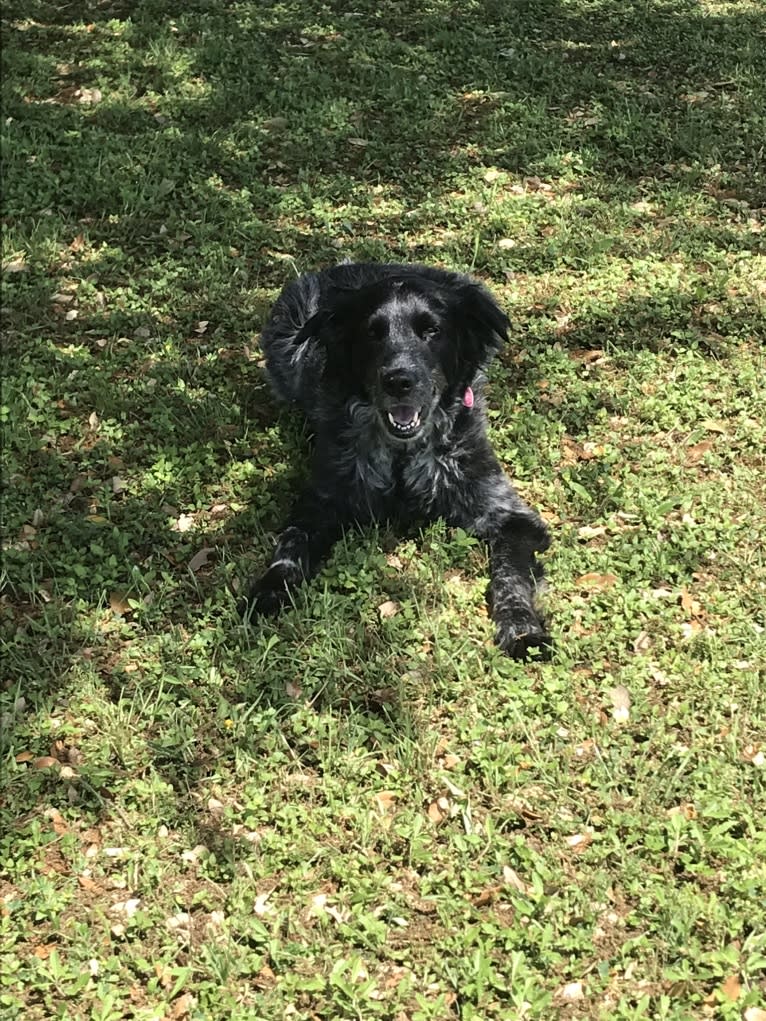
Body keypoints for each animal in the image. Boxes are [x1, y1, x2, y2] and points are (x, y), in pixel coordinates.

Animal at [246, 263, 551, 657]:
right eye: (372, 333)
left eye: (431, 330)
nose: (398, 381)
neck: (402, 459)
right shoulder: (318, 503)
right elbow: (290, 546)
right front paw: (269, 590)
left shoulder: (511, 517)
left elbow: (510, 574)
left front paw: (522, 629)